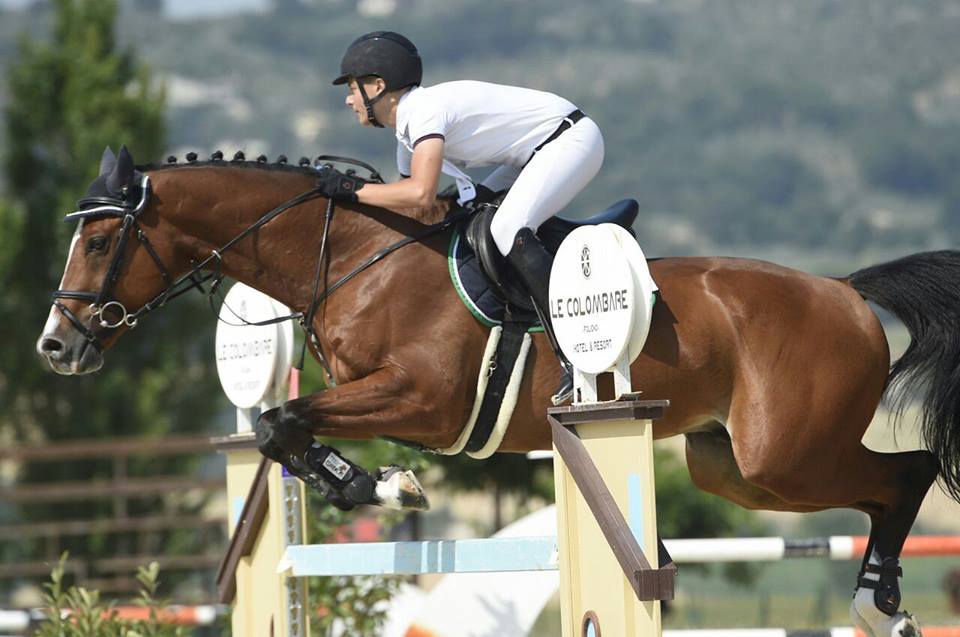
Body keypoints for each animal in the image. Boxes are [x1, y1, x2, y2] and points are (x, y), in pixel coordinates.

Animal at [39, 145, 960, 636]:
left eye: (100, 240)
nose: (56, 346)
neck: (354, 257)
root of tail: (844, 288)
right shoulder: (389, 400)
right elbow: (280, 429)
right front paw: (379, 483)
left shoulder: (423, 399)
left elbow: (280, 419)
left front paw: (385, 486)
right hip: (731, 466)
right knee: (882, 484)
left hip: (786, 454)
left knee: (906, 473)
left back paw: (879, 599)